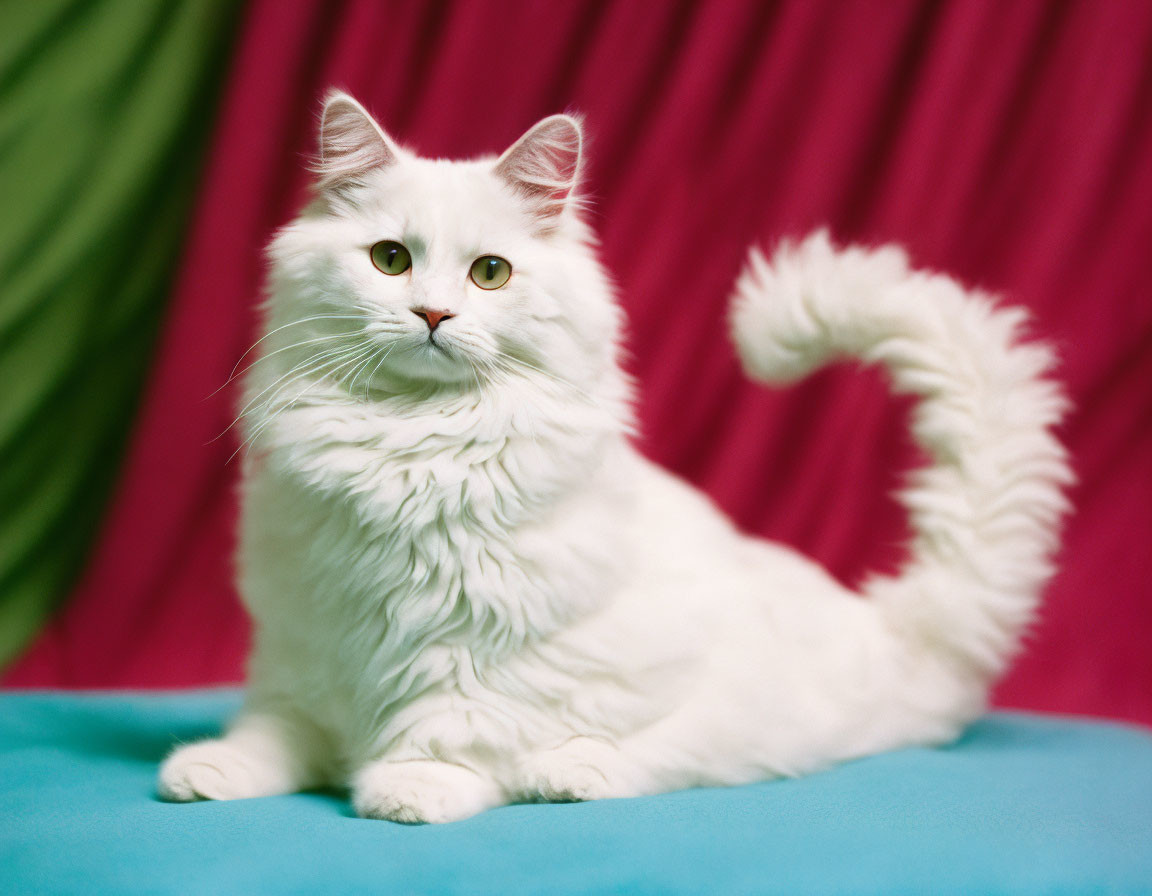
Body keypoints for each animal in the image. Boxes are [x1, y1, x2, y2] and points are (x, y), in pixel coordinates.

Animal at [160, 94, 1069, 819]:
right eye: (390, 259)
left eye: (490, 273)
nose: (433, 314)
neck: (410, 438)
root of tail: (895, 625)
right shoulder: (308, 636)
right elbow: (280, 727)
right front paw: (211, 770)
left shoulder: (473, 645)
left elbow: (449, 721)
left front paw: (409, 787)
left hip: (720, 712)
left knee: (652, 760)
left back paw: (562, 773)